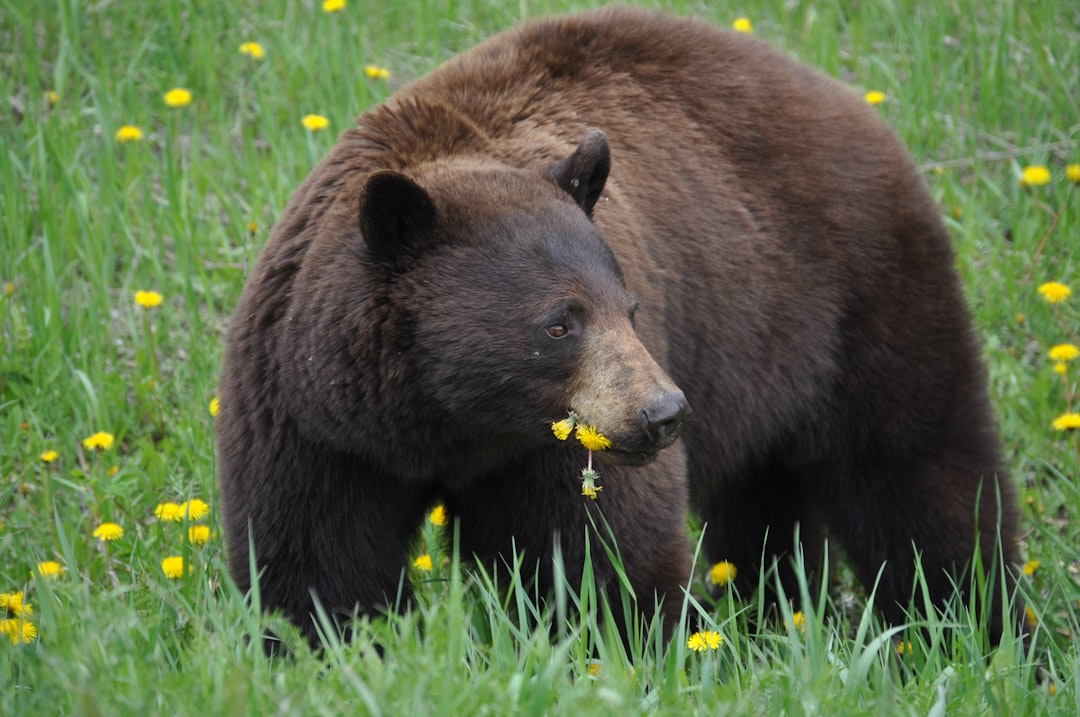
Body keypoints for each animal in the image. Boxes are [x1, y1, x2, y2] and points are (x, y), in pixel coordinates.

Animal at [217, 5, 1019, 647]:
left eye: (629, 309)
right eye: (559, 323)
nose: (663, 413)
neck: (446, 426)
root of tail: (842, 96)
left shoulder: (559, 444)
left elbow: (598, 555)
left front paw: (634, 644)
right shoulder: (314, 423)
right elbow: (318, 561)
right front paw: (339, 648)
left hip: (857, 296)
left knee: (921, 471)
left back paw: (977, 628)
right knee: (769, 500)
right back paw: (775, 613)